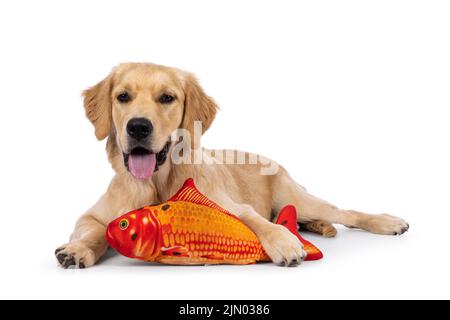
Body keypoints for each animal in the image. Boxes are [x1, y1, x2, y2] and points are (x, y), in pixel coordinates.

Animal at [54, 62, 410, 268]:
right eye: (123, 96)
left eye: (167, 98)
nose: (138, 127)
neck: (157, 182)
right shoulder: (92, 215)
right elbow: (94, 231)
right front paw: (77, 249)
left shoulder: (227, 205)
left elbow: (254, 219)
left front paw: (283, 241)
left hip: (297, 197)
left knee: (346, 213)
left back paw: (386, 221)